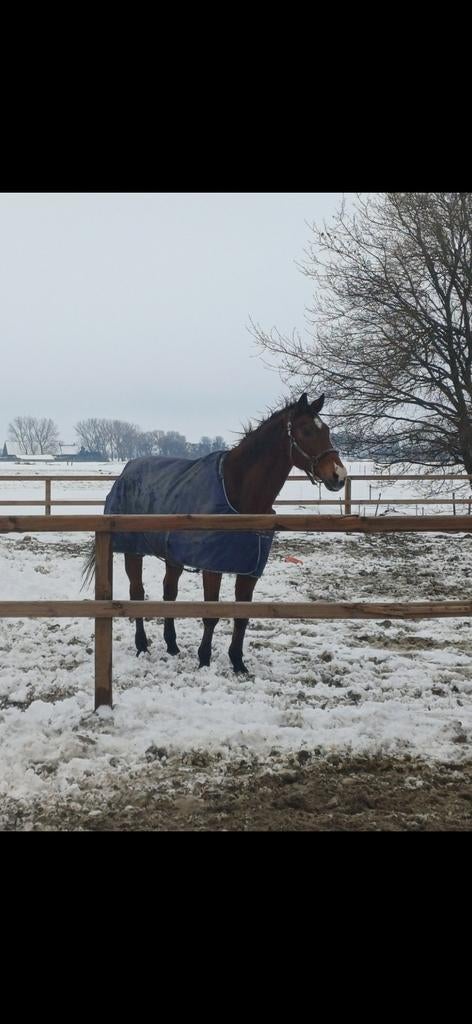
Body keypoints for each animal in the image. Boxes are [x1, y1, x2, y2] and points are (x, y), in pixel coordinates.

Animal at [83, 393, 346, 673]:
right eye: (306, 430)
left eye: (327, 431)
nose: (339, 476)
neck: (237, 490)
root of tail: (125, 471)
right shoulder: (212, 567)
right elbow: (211, 614)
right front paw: (204, 659)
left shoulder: (250, 568)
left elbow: (242, 616)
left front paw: (238, 662)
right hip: (133, 552)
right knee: (137, 593)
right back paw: (142, 645)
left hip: (173, 557)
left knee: (169, 593)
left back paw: (172, 645)